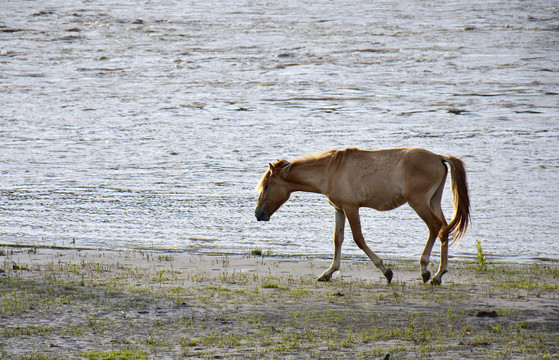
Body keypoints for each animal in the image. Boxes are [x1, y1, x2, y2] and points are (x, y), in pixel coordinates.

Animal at [256, 148, 470, 286]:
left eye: (266, 186)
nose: (258, 213)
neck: (330, 170)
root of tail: (438, 157)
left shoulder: (351, 208)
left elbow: (358, 239)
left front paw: (386, 271)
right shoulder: (339, 209)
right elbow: (338, 239)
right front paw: (329, 272)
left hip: (418, 202)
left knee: (435, 227)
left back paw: (426, 270)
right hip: (433, 201)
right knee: (444, 229)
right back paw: (439, 274)